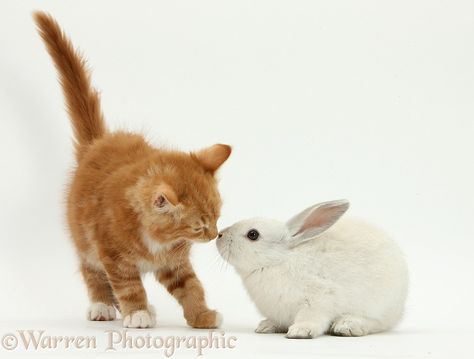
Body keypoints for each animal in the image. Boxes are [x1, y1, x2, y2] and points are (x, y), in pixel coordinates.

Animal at [33, 11, 231, 330]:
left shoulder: (175, 262)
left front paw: (202, 315)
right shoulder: (113, 256)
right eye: (198, 227)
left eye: (217, 218)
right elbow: (127, 286)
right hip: (84, 240)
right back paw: (102, 305)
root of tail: (97, 144)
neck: (156, 239)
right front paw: (136, 312)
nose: (214, 235)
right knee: (91, 271)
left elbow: (191, 287)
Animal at [217, 200, 410, 340]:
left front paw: (300, 331)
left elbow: (311, 317)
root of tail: (400, 307)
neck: (278, 261)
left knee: (375, 323)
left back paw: (346, 326)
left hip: (377, 306)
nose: (219, 235)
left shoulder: (318, 299)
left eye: (253, 234)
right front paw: (266, 326)